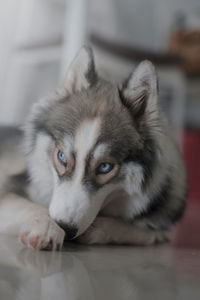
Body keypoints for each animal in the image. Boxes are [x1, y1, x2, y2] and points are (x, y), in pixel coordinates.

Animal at [0, 46, 187, 248]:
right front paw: (47, 227)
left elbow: (145, 232)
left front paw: (98, 228)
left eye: (105, 167)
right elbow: (33, 205)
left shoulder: (161, 224)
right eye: (61, 157)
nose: (65, 228)